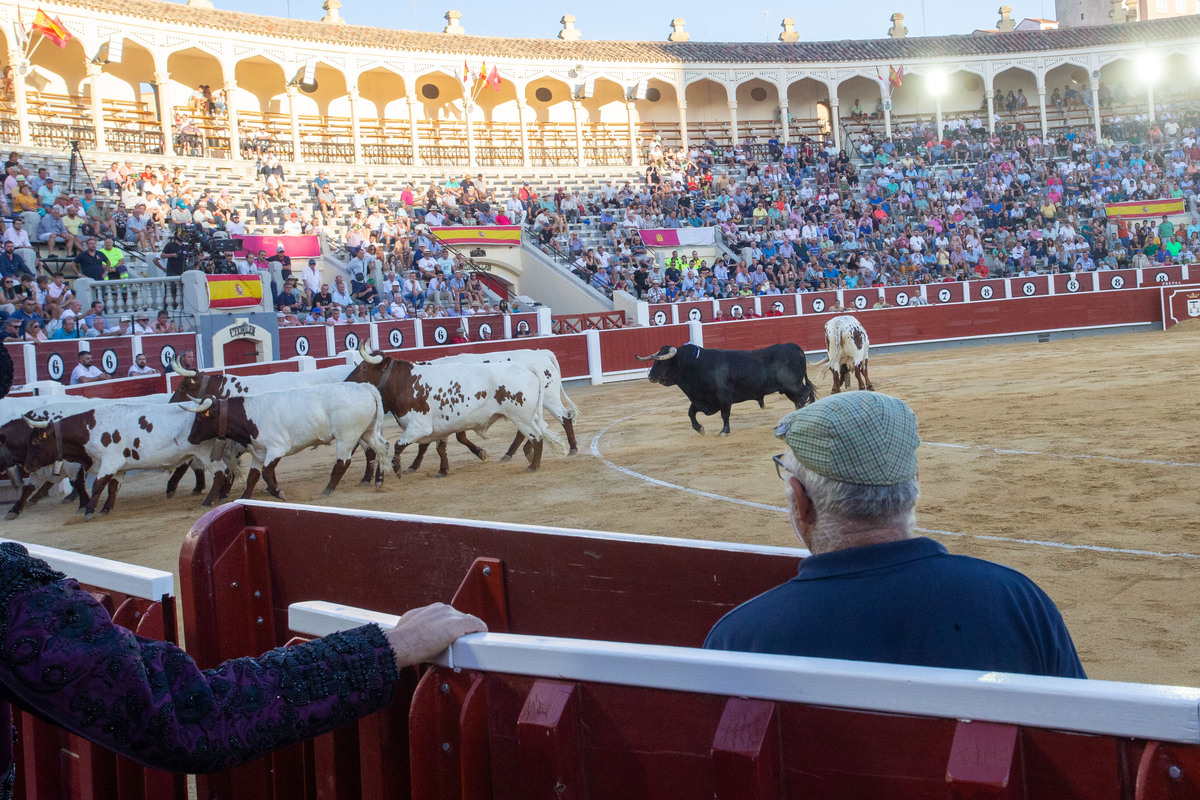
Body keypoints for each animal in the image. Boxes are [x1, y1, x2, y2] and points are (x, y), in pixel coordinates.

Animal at [638, 340, 816, 434]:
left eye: (663, 362)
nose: (650, 376)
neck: (698, 365)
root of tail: (793, 346)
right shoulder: (701, 400)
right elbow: (690, 412)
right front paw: (699, 428)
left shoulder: (724, 397)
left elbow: (725, 414)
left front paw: (724, 431)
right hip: (786, 388)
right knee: (800, 397)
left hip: (792, 384)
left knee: (805, 393)